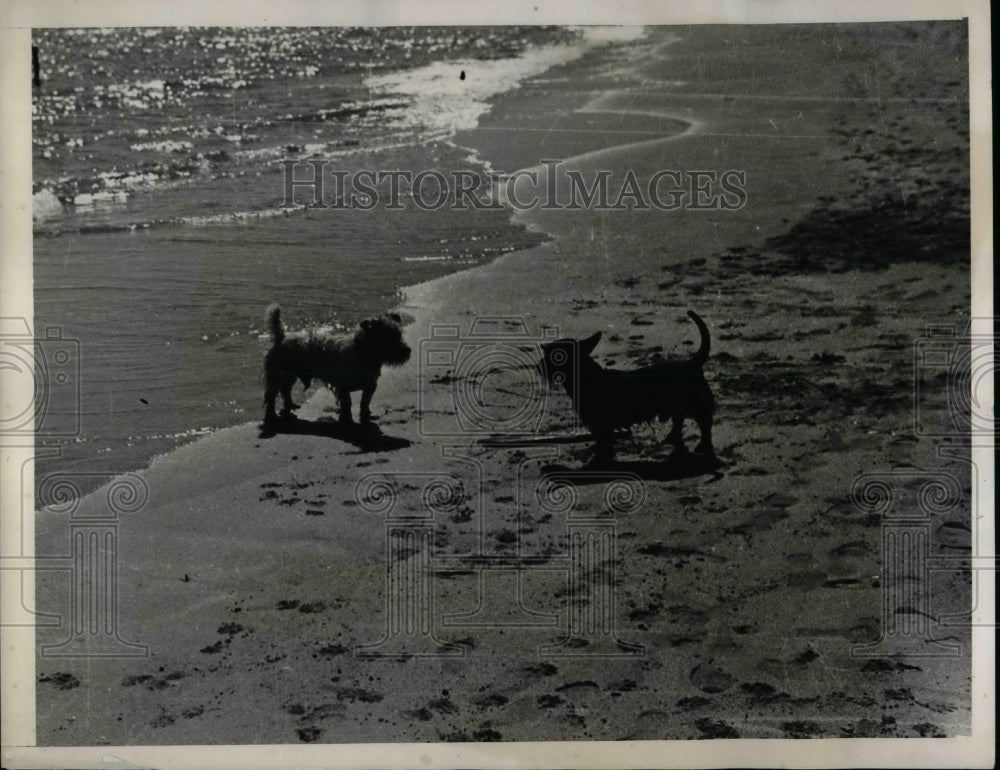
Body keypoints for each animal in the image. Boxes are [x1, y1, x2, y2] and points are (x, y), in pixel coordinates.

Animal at [264, 304, 412, 426]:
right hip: (277, 376)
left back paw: (290, 405)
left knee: (285, 390)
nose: (408, 350)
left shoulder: (370, 385)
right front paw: (347, 420)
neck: (362, 352)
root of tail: (281, 338)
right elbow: (347, 403)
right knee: (272, 395)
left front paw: (365, 415)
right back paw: (272, 415)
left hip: (289, 376)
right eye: (389, 338)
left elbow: (365, 402)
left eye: (399, 335)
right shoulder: (343, 387)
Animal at [540, 308, 712, 462]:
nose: (539, 364)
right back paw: (672, 439)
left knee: (704, 424)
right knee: (679, 421)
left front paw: (601, 458)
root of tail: (692, 364)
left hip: (697, 405)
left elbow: (604, 443)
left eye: (555, 356)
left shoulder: (600, 424)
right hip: (678, 406)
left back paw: (703, 446)